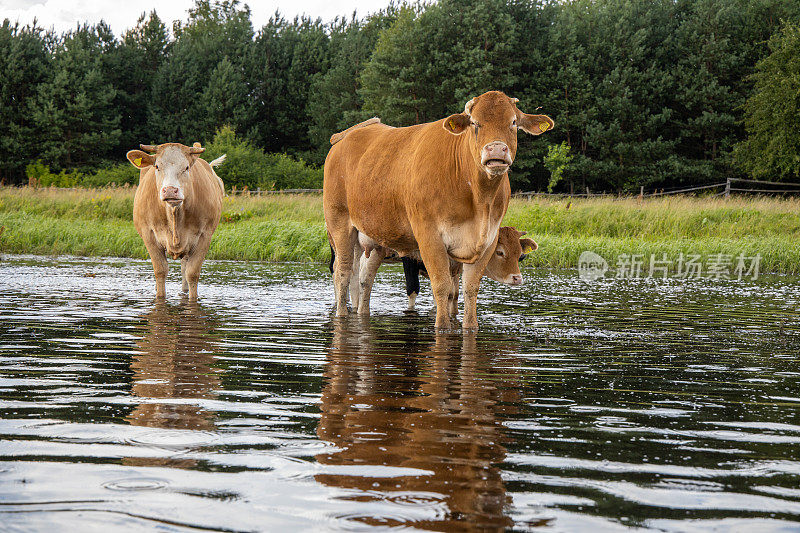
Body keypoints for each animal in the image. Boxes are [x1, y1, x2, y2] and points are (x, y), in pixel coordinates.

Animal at [126, 141, 225, 300]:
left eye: (186, 167)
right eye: (157, 166)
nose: (170, 190)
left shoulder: (205, 236)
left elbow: (192, 273)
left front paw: (192, 298)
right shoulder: (149, 235)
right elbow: (160, 270)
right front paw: (160, 296)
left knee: (185, 268)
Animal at [322, 92, 552, 332]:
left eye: (513, 122)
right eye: (474, 123)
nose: (496, 149)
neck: (478, 198)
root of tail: (347, 134)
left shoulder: (487, 239)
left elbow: (469, 289)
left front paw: (470, 326)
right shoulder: (429, 237)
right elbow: (441, 287)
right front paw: (442, 326)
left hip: (367, 239)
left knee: (360, 276)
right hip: (339, 224)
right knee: (342, 272)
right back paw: (342, 315)